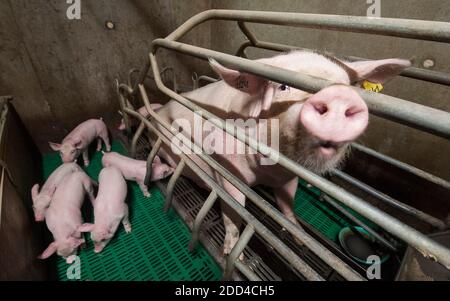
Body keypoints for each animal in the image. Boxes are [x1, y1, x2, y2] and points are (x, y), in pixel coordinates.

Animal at [149, 49, 410, 255]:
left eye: (348, 85)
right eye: (283, 87)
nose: (339, 95)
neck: (268, 170)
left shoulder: (289, 177)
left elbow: (287, 206)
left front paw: (300, 240)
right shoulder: (226, 171)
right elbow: (234, 213)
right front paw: (233, 254)